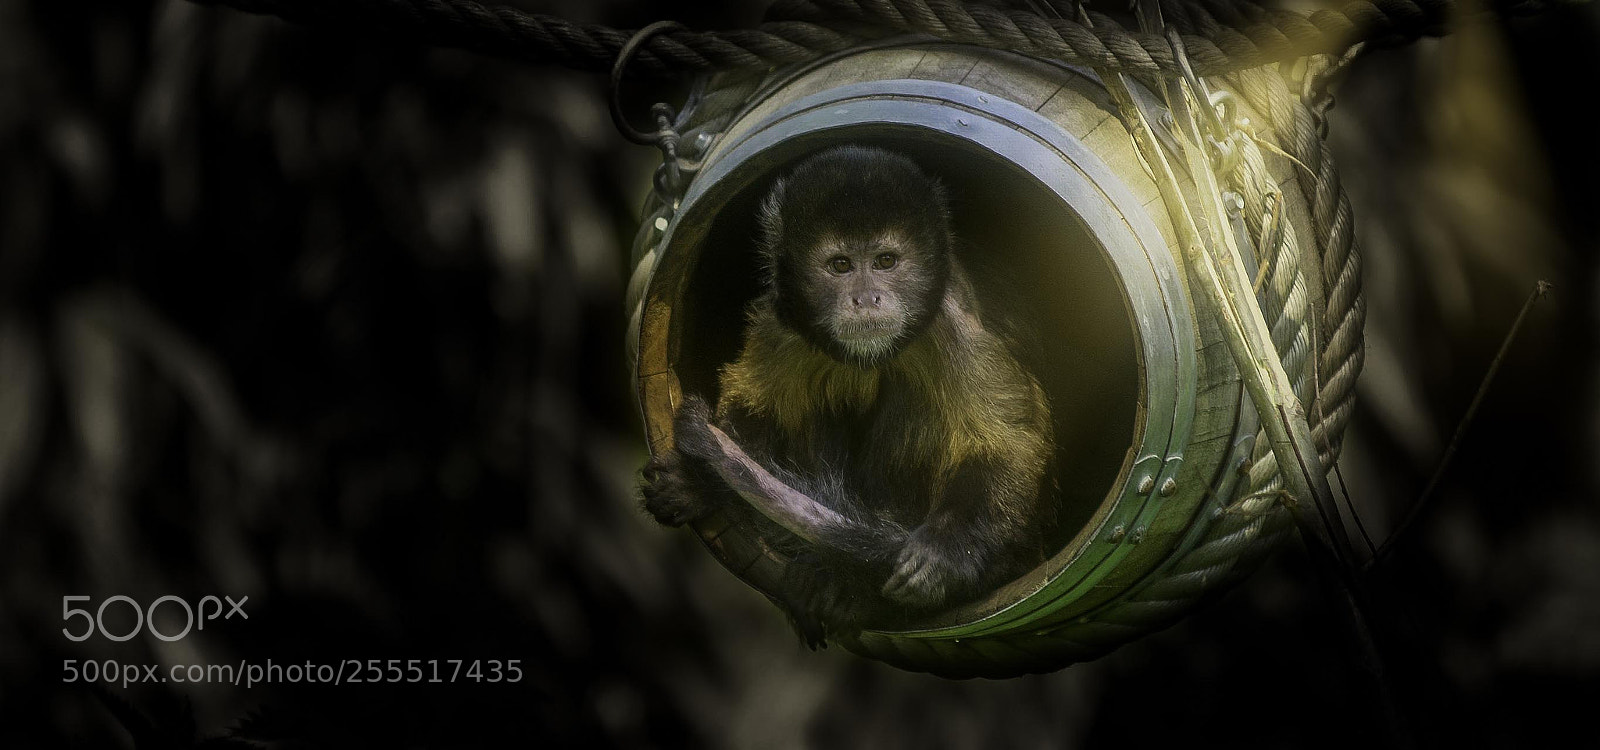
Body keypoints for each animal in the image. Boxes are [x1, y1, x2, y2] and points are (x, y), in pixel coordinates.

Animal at [641, 145, 1055, 647]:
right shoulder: (783, 325)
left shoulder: (953, 324)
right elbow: (756, 404)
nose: (866, 299)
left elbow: (1008, 442)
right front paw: (697, 481)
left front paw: (945, 550)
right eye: (841, 266)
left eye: (885, 262)